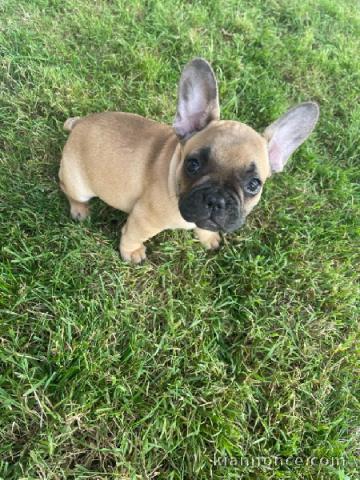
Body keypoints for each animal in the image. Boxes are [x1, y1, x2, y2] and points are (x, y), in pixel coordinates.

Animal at [58, 59, 318, 264]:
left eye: (254, 185)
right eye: (193, 165)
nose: (216, 199)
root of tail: (79, 124)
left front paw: (208, 237)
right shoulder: (143, 219)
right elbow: (132, 235)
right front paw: (131, 253)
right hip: (78, 185)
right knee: (70, 192)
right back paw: (80, 210)